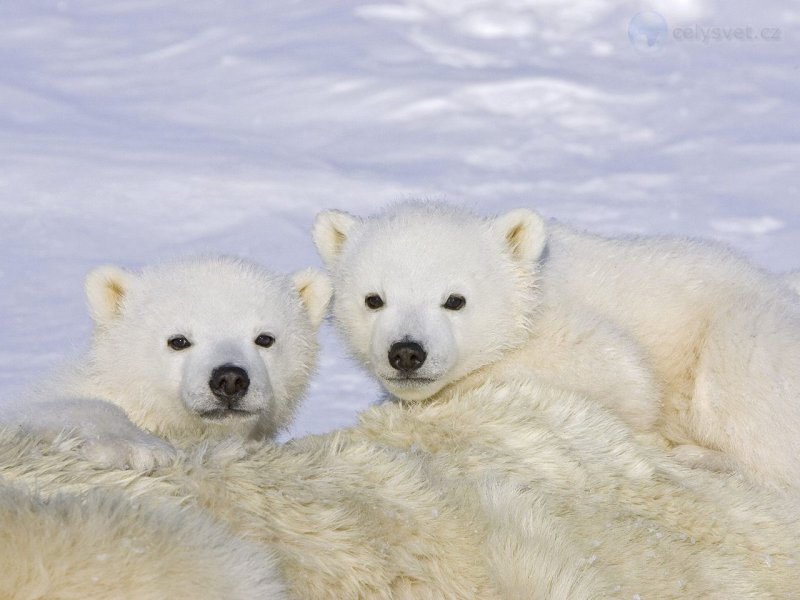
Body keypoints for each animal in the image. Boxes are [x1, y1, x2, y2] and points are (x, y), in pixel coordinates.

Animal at [313, 202, 800, 492]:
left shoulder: (571, 332)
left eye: (455, 299)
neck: (531, 289)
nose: (407, 353)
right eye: (373, 299)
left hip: (743, 333)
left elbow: (622, 377)